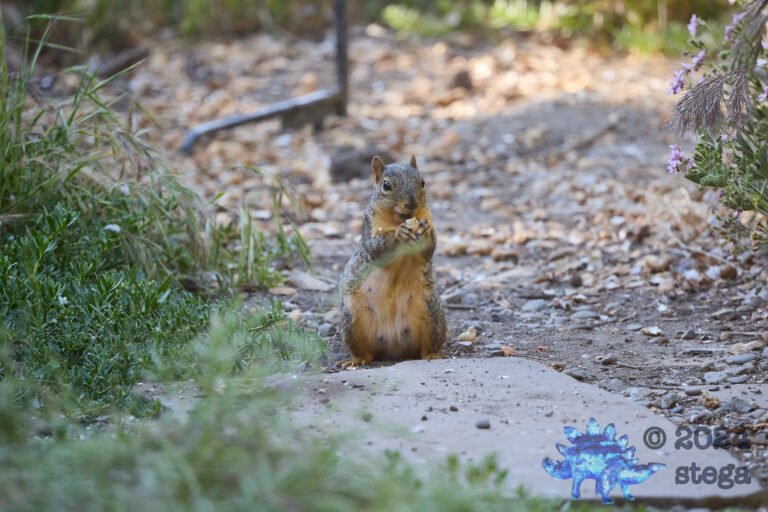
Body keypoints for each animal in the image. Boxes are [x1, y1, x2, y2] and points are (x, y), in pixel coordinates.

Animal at [339, 154, 447, 364]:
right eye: (386, 185)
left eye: (423, 182)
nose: (412, 203)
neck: (399, 218)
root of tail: (393, 346)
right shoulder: (371, 227)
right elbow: (376, 246)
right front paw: (399, 234)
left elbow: (428, 250)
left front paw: (426, 231)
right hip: (351, 320)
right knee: (364, 352)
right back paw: (357, 360)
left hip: (432, 314)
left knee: (427, 346)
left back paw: (432, 354)